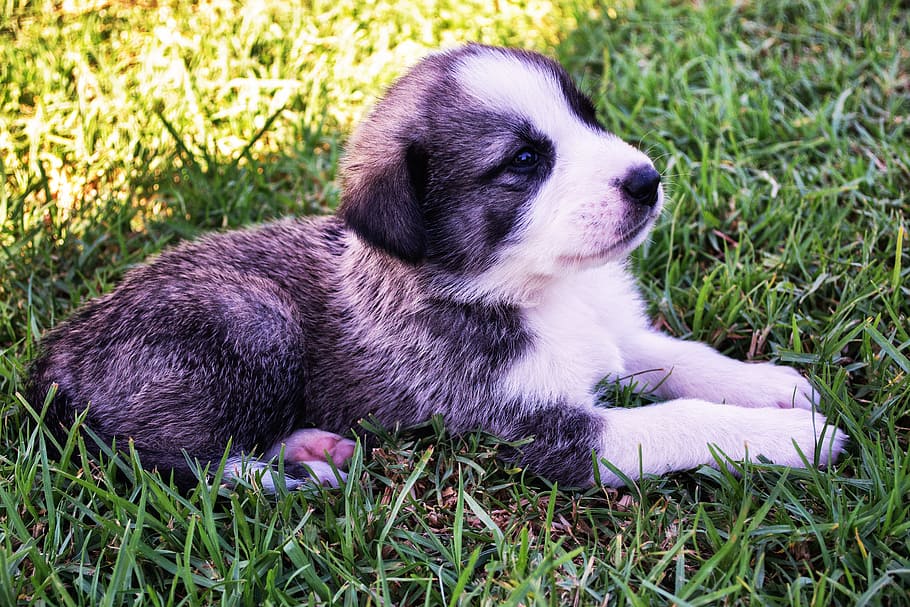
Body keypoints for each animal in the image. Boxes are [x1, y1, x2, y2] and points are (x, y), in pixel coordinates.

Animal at [26, 45, 848, 492]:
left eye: (588, 117)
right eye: (524, 161)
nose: (647, 181)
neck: (536, 289)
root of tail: (54, 357)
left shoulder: (614, 334)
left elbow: (680, 357)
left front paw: (771, 386)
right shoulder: (542, 433)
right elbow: (682, 420)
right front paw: (795, 438)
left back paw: (310, 445)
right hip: (251, 324)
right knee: (162, 458)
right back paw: (287, 475)